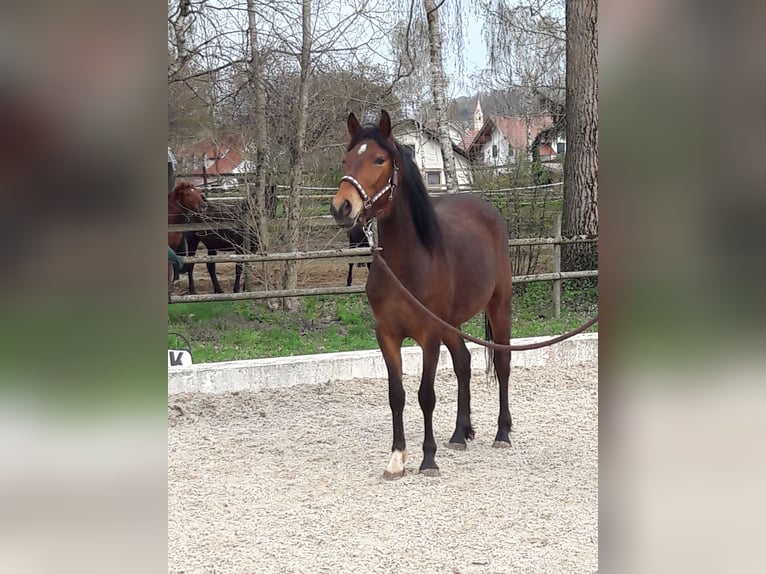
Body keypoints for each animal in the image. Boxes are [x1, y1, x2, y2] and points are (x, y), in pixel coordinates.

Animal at [332, 110, 516, 480]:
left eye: (379, 159)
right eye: (347, 158)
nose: (342, 207)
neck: (409, 262)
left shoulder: (428, 334)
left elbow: (425, 395)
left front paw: (428, 459)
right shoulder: (387, 334)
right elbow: (397, 395)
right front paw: (396, 458)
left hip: (498, 307)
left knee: (502, 363)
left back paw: (502, 432)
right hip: (452, 323)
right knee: (463, 363)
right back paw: (460, 434)